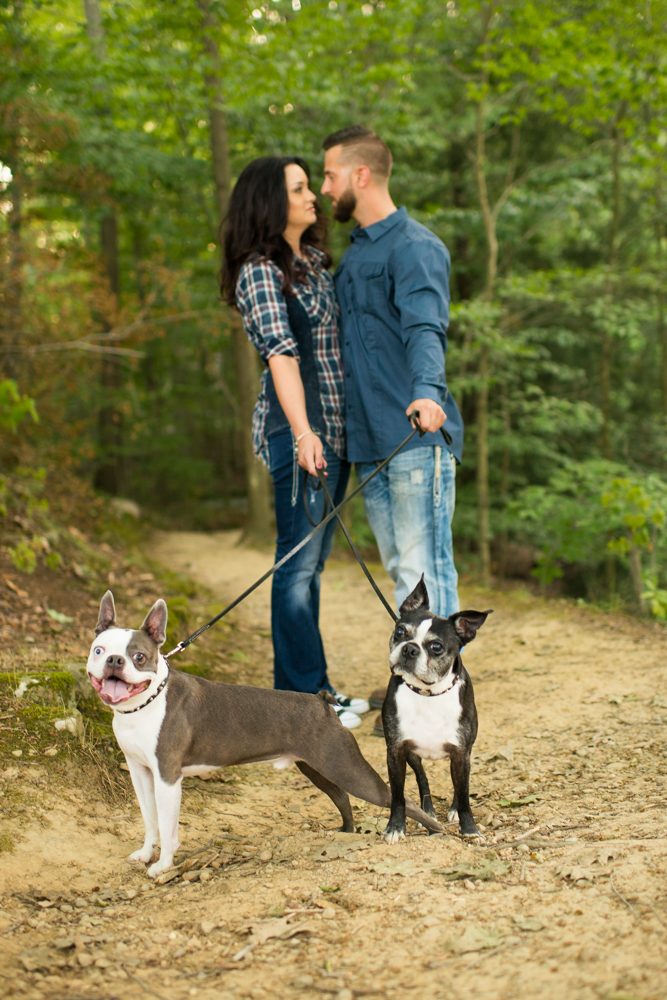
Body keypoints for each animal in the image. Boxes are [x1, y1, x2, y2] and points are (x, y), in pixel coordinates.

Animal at [87, 592, 444, 876]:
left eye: (139, 657)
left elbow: (166, 823)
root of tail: (322, 701)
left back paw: (437, 831)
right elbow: (149, 819)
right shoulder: (140, 772)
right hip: (317, 766)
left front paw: (162, 866)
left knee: (394, 797)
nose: (115, 660)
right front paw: (146, 854)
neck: (144, 705)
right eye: (98, 650)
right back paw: (346, 831)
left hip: (346, 767)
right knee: (341, 796)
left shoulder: (167, 777)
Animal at [380, 580, 490, 844]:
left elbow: (464, 793)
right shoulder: (396, 751)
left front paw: (470, 829)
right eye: (400, 632)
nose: (409, 649)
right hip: (413, 754)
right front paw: (395, 827)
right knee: (422, 777)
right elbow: (398, 796)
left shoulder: (461, 752)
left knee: (458, 787)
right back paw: (427, 811)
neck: (427, 693)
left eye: (436, 647)